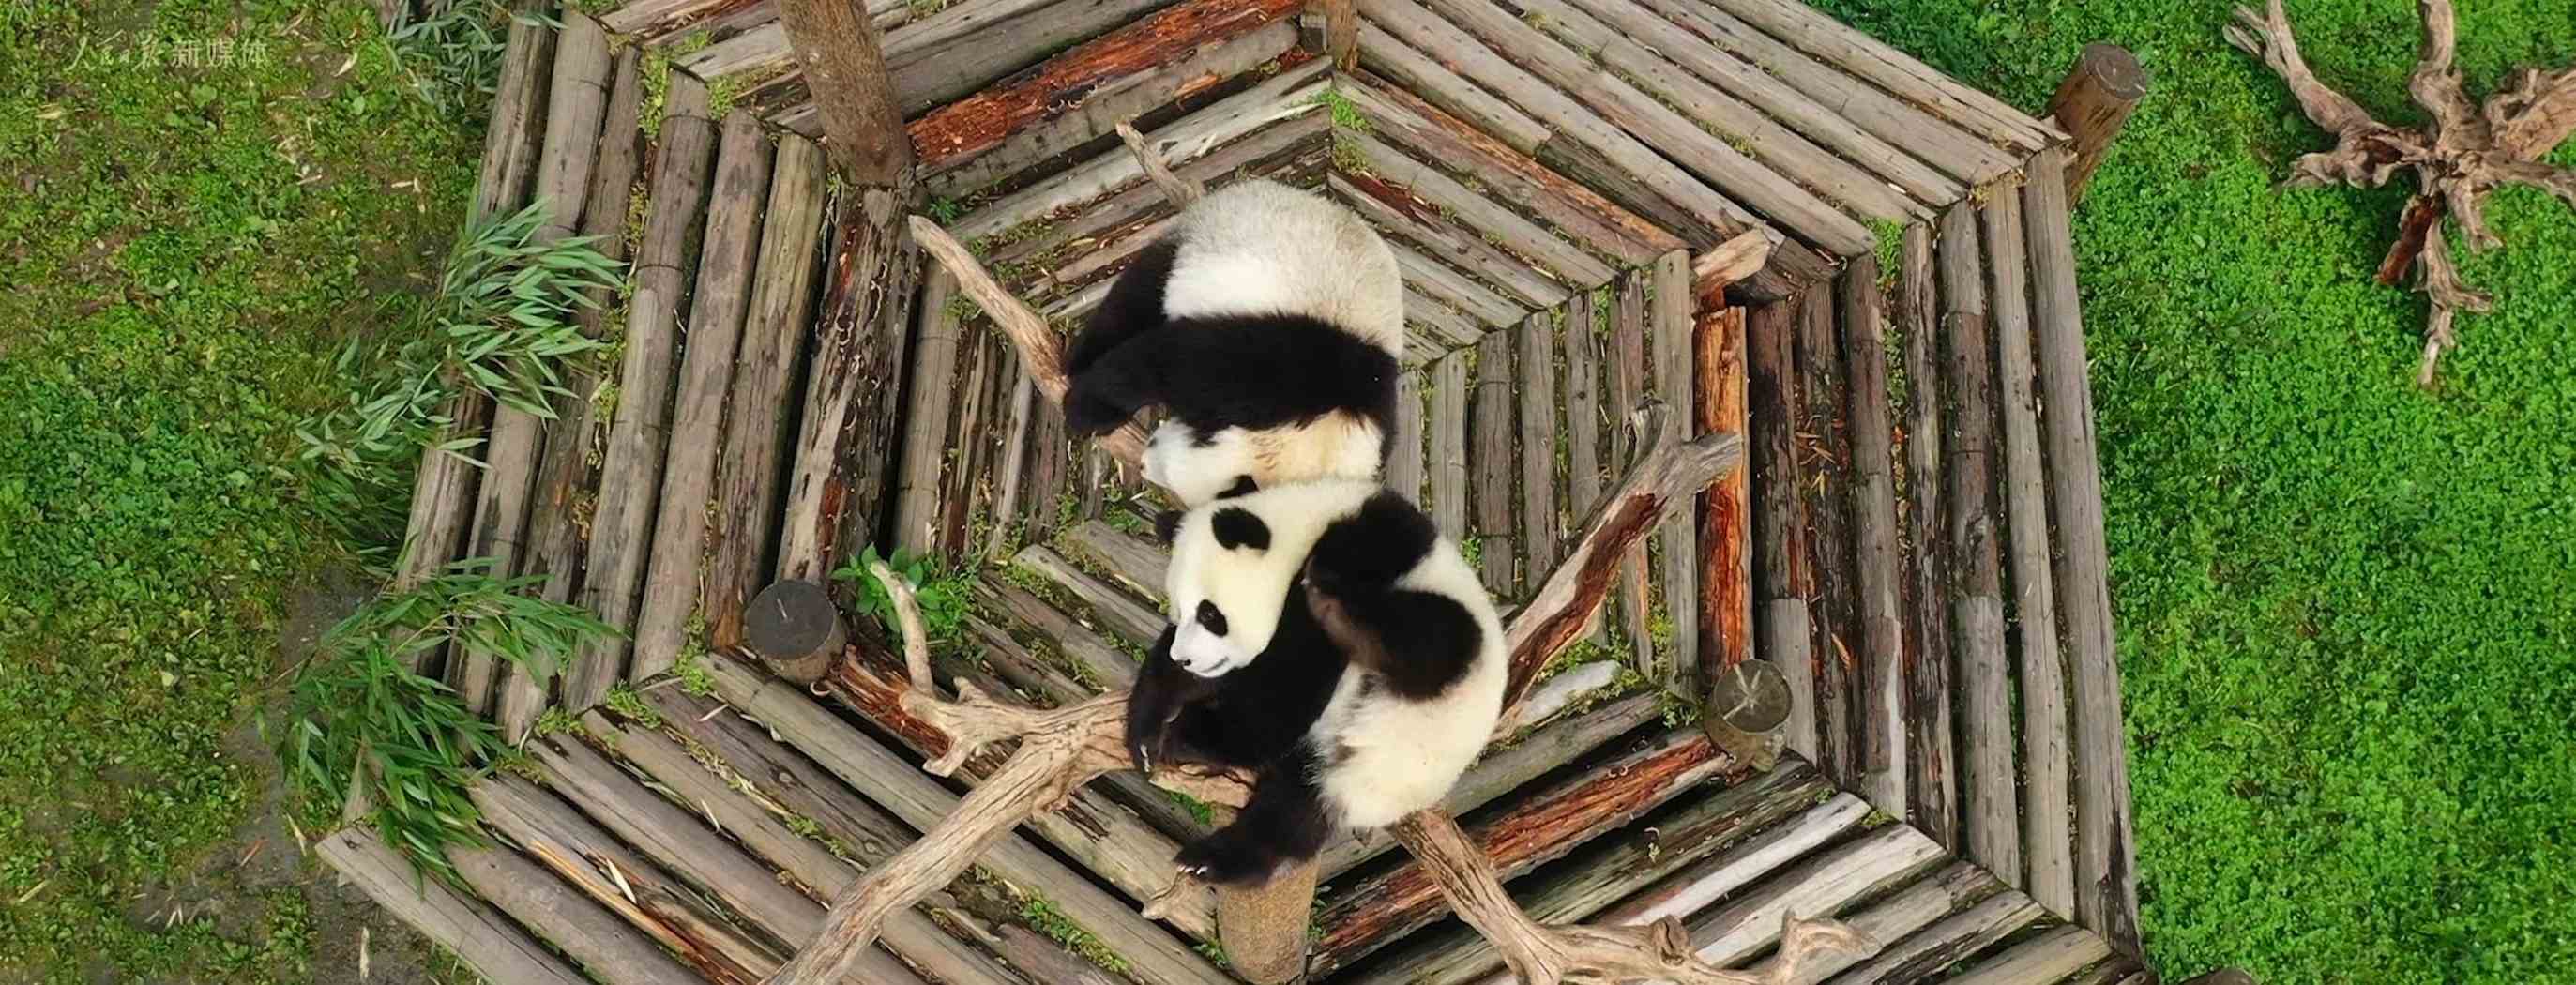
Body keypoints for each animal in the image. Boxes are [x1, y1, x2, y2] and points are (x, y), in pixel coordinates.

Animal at [1060, 179, 1404, 507]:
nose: (1145, 462)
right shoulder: (1269, 366)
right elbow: (1168, 363)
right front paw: (1087, 411)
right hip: (1202, 240)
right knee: (1142, 292)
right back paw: (1079, 360)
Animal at [1124, 479, 1506, 886]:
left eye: (1209, 614)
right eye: (1179, 613)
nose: (1186, 657)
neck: (1303, 522)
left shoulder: (1361, 550)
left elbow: (1280, 700)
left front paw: (1185, 735)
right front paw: (1148, 735)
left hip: (1446, 672)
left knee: (1431, 640)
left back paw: (1336, 610)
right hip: (1342, 769)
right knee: (1289, 817)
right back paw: (1209, 861)